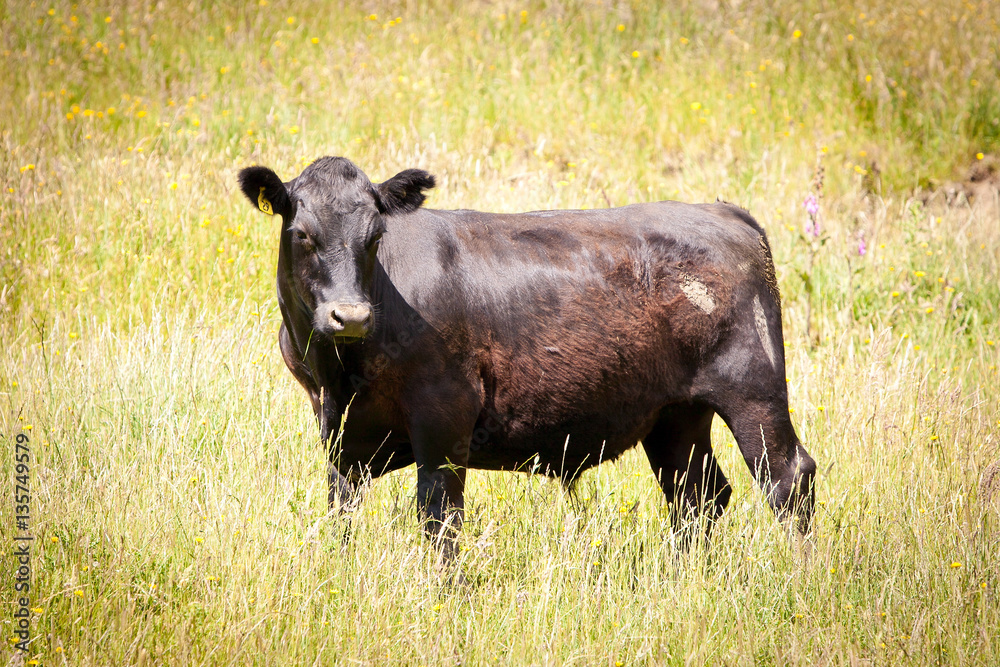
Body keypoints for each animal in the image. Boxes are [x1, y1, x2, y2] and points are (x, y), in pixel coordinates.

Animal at [238, 157, 816, 560]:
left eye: (375, 236)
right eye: (302, 234)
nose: (351, 316)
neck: (340, 370)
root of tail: (722, 213)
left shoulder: (443, 419)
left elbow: (439, 516)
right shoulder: (338, 431)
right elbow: (341, 512)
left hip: (753, 389)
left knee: (788, 479)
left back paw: (798, 576)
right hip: (676, 414)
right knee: (697, 494)